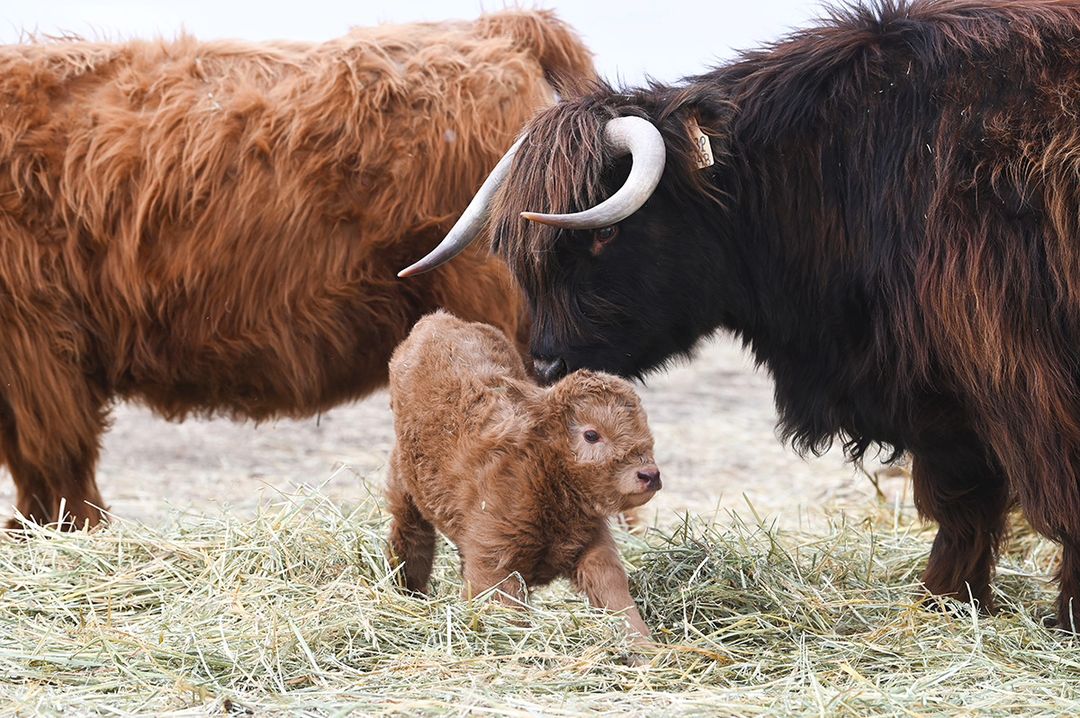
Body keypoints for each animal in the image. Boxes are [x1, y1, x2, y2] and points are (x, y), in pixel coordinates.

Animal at [384, 310, 660, 639]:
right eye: (591, 435)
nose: (649, 474)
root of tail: (437, 320)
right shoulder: (493, 563)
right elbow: (510, 615)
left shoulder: (594, 545)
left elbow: (616, 596)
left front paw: (646, 647)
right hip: (405, 489)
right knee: (410, 543)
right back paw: (407, 593)